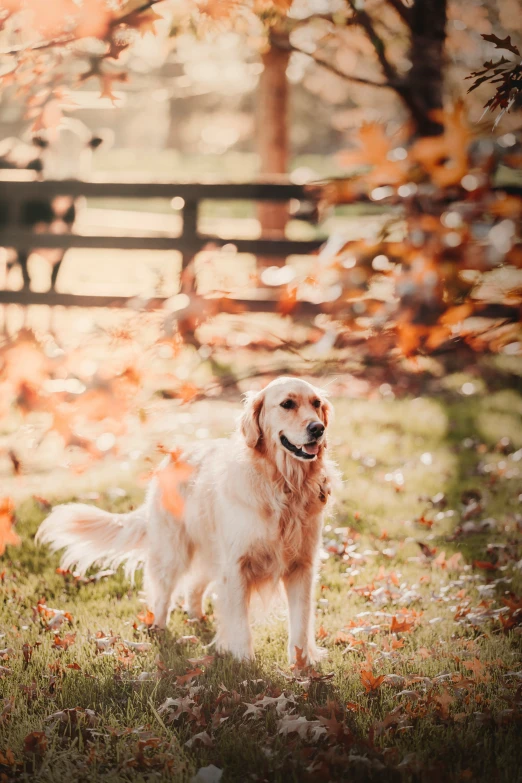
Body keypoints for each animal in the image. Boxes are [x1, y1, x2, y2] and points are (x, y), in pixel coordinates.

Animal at [37, 376, 338, 664]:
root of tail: (171, 456)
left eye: (316, 404)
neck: (282, 485)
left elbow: (300, 622)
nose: (318, 429)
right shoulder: (236, 565)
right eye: (287, 404)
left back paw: (197, 619)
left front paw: (302, 664)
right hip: (174, 551)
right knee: (163, 593)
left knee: (194, 587)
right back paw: (158, 629)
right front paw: (245, 662)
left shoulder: (301, 565)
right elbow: (239, 623)